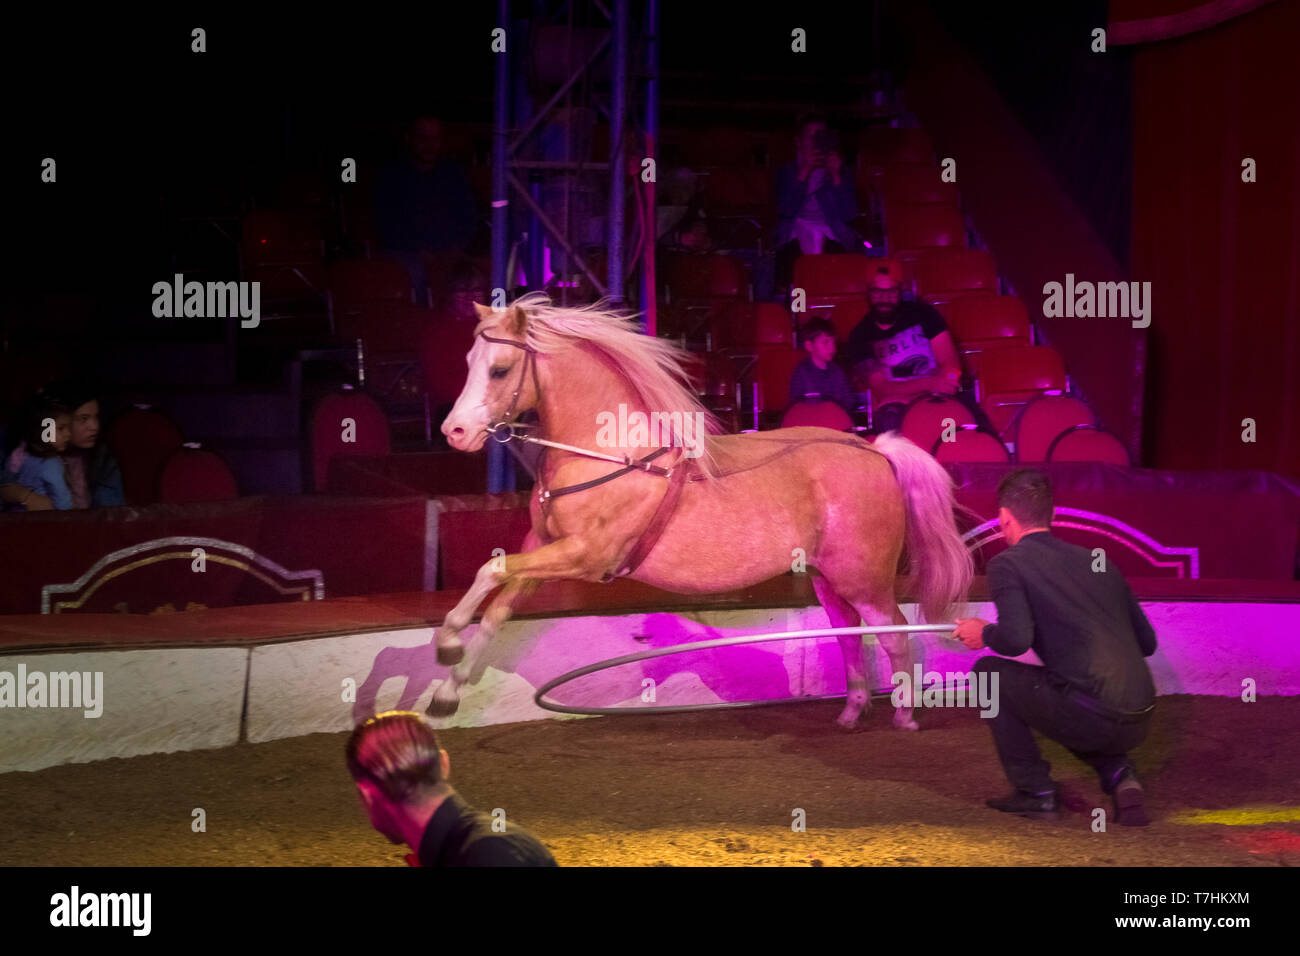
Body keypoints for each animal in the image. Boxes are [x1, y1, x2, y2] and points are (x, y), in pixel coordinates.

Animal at [431, 295, 972, 728]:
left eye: (499, 369)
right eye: (468, 359)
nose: (453, 432)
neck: (610, 454)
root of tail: (875, 450)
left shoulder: (584, 555)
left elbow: (489, 571)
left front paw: (448, 642)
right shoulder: (543, 549)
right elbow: (497, 607)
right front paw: (447, 690)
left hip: (864, 578)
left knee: (895, 633)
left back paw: (903, 716)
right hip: (829, 578)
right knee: (850, 637)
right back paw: (851, 712)